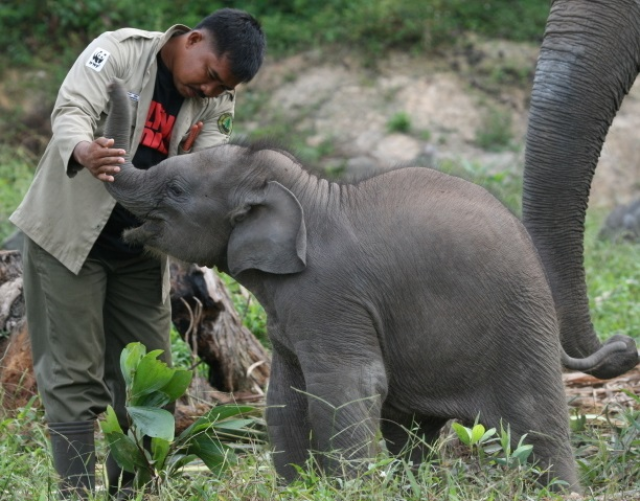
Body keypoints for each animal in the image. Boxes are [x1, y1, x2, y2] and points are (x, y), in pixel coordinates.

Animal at [99, 79, 600, 491]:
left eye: (176, 190)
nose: (118, 87)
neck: (311, 195)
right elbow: (285, 395)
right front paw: (297, 488)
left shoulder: (330, 296)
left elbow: (345, 385)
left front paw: (346, 488)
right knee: (411, 431)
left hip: (521, 325)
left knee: (536, 424)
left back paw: (563, 491)